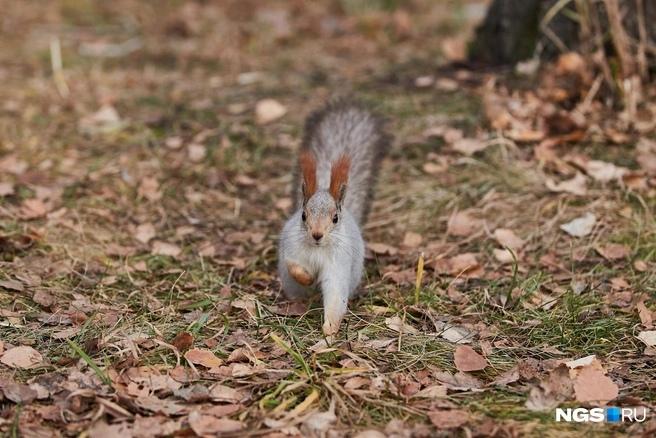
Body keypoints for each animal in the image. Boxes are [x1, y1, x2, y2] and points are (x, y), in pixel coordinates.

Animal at [276, 98, 390, 332]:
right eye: (303, 215)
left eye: (335, 218)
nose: (317, 234)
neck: (318, 250)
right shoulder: (291, 247)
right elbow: (293, 266)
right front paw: (307, 277)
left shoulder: (338, 264)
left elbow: (336, 297)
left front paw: (329, 330)